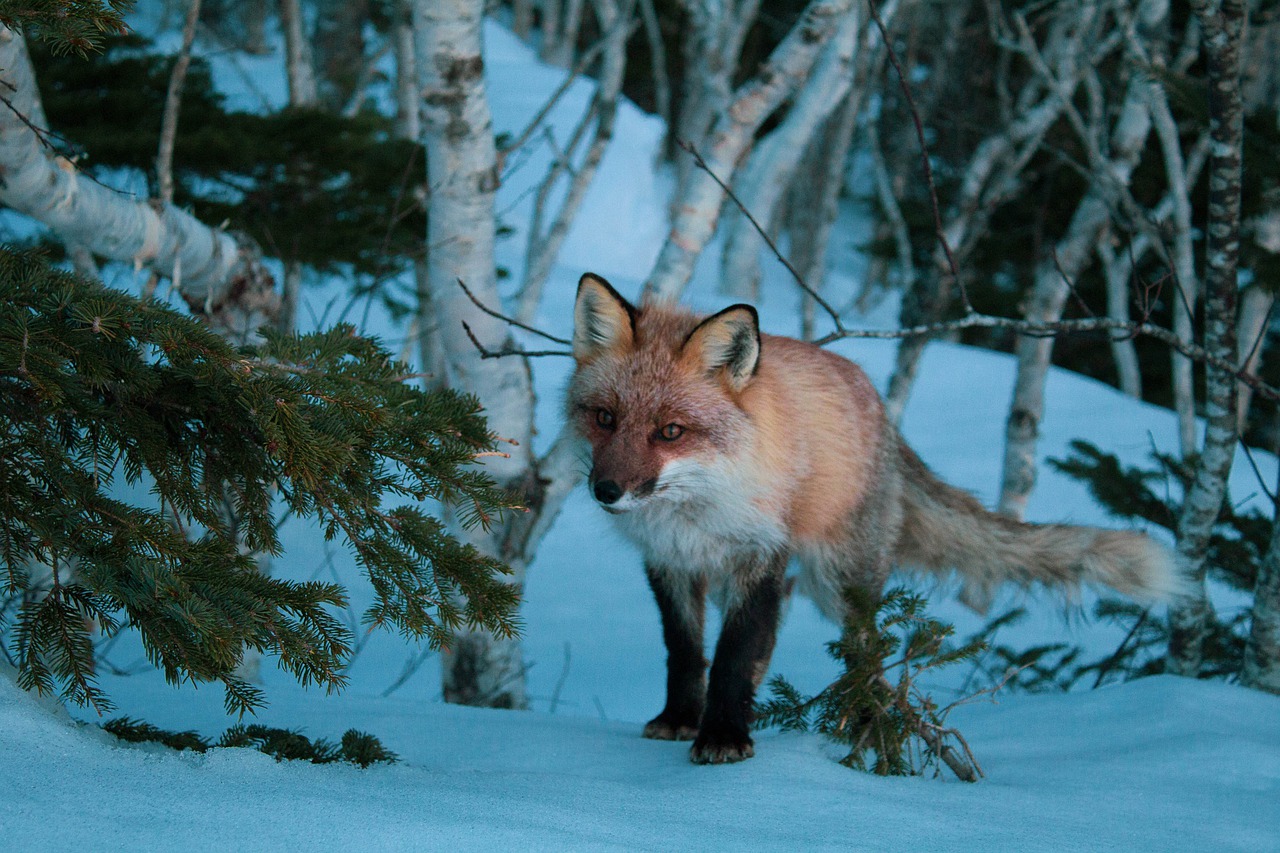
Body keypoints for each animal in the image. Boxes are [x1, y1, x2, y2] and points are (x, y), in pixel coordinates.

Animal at [566, 272, 1185, 765]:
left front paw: (722, 736)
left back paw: (868, 724)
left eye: (670, 431)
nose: (606, 491)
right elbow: (687, 652)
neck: (693, 507)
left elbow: (734, 657)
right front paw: (680, 719)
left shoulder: (759, 555)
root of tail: (882, 412)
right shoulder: (669, 562)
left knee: (867, 655)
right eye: (605, 418)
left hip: (838, 581)